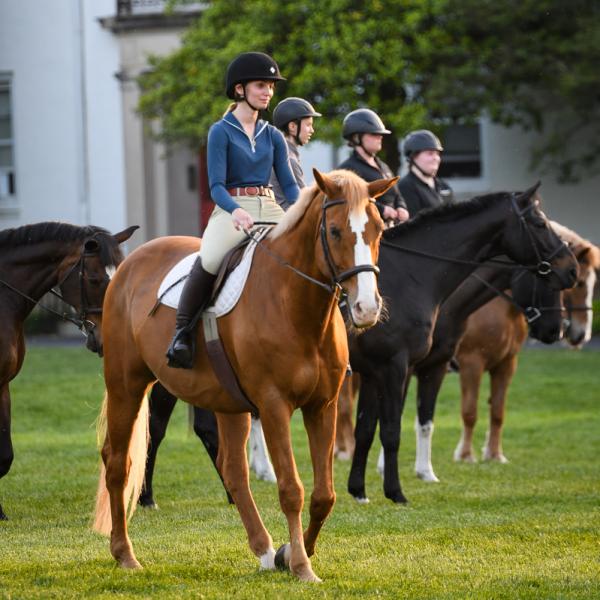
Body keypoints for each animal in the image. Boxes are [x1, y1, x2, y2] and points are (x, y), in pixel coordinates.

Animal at [91, 169, 396, 580]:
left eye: (379, 229)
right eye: (334, 231)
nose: (366, 308)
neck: (295, 305)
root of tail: (130, 263)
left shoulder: (323, 406)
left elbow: (324, 495)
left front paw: (293, 552)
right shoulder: (273, 406)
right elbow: (291, 490)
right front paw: (302, 566)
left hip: (227, 404)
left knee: (233, 471)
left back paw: (265, 550)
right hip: (127, 385)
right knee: (117, 463)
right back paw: (124, 554)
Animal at [350, 185, 580, 504]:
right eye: (540, 224)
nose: (572, 270)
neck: (409, 276)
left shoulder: (383, 370)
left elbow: (372, 428)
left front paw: (362, 491)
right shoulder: (399, 367)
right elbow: (392, 428)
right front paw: (395, 490)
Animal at [454, 223, 600, 462]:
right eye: (578, 284)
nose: (581, 335)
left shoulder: (506, 364)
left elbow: (498, 412)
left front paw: (494, 455)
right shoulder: (471, 363)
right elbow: (470, 412)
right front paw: (465, 455)